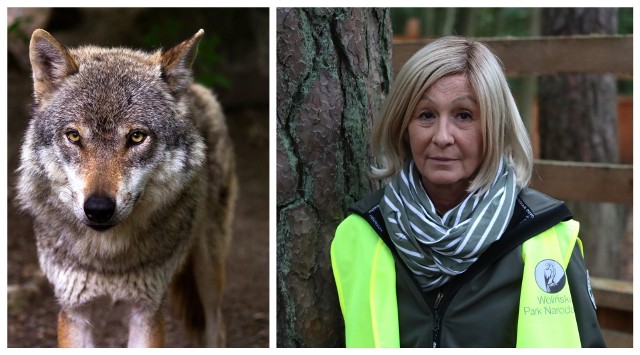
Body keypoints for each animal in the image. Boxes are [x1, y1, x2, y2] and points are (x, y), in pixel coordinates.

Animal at [16, 29, 238, 350]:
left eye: (136, 137)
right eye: (74, 136)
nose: (98, 209)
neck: (107, 259)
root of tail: (194, 88)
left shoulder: (146, 310)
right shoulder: (74, 310)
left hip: (209, 270)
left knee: (216, 327)